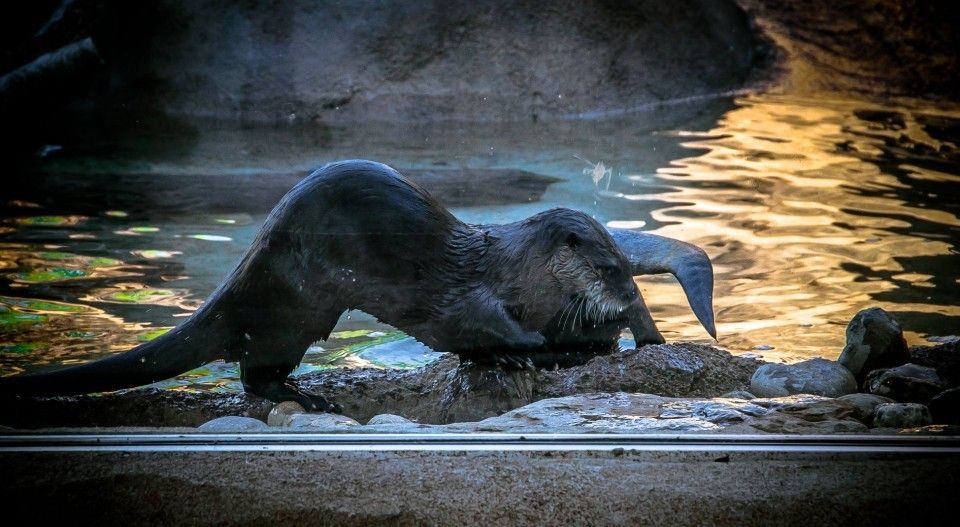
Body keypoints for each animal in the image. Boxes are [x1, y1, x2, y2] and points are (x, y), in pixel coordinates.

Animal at [1, 161, 712, 412]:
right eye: (610, 268)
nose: (626, 297)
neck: (520, 274)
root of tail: (242, 278)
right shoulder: (473, 294)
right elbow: (478, 324)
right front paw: (522, 350)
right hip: (291, 305)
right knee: (254, 372)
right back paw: (308, 398)